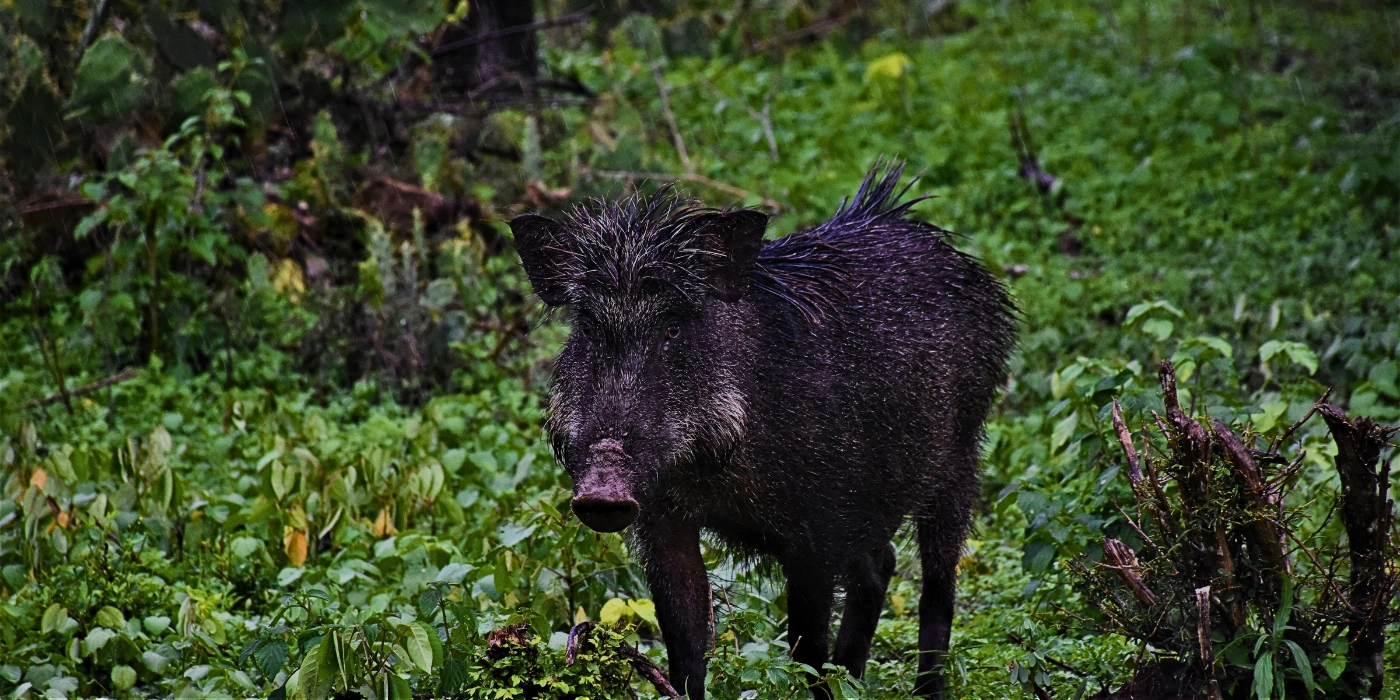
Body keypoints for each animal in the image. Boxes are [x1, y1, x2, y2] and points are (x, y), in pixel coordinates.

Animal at [510, 162, 1016, 699]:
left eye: (673, 328)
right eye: (586, 327)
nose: (602, 489)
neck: (708, 468)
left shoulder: (818, 529)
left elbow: (806, 651)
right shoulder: (664, 522)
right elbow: (685, 644)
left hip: (959, 457)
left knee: (937, 587)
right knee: (881, 567)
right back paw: (854, 676)